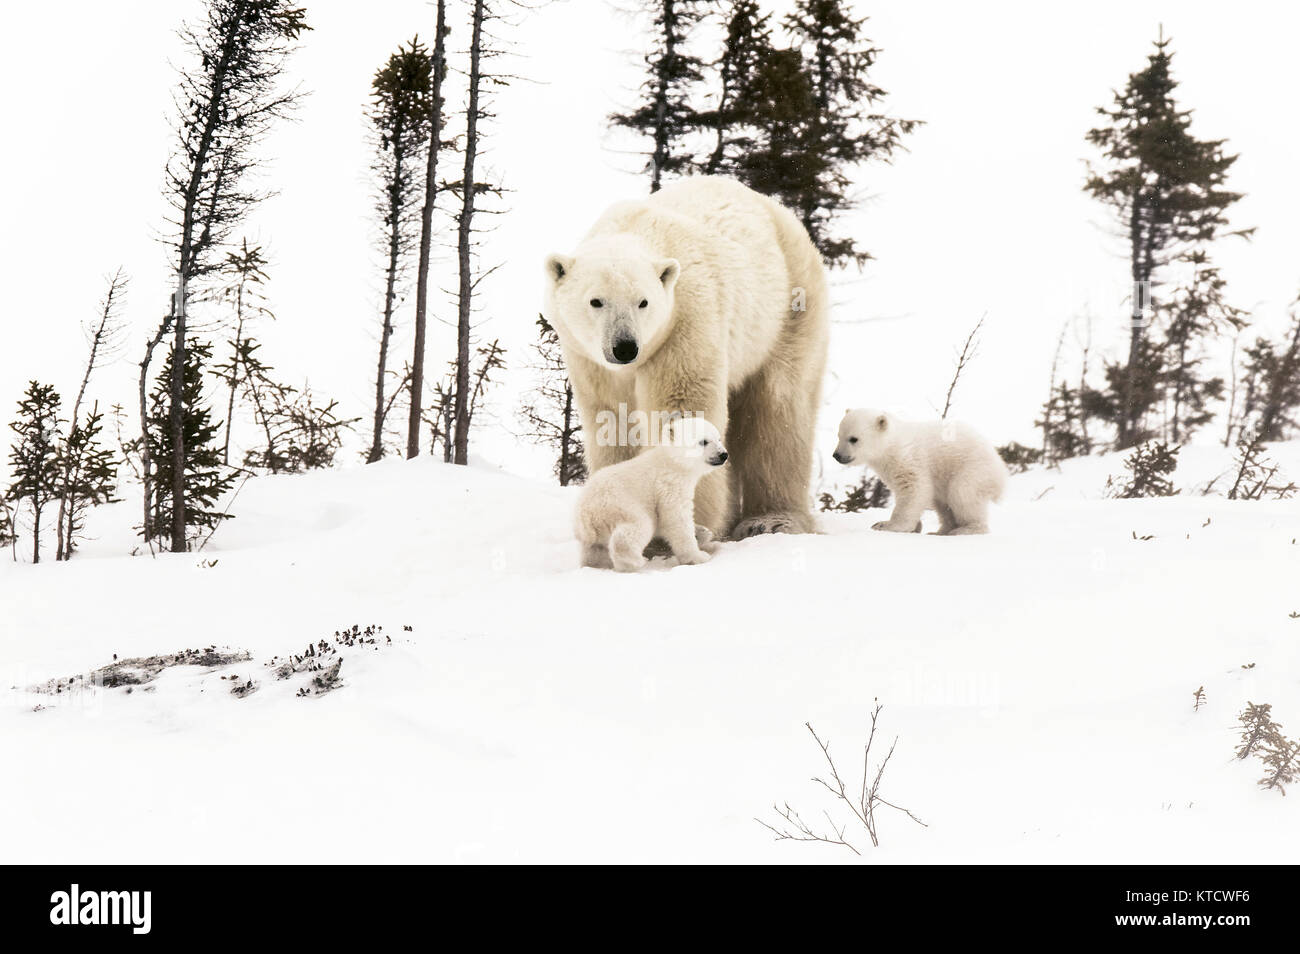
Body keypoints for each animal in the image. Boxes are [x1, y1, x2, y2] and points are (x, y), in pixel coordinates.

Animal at [540, 175, 826, 540]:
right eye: (596, 301)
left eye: (643, 302)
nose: (625, 347)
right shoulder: (588, 360)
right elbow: (613, 422)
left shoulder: (684, 322)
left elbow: (683, 409)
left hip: (786, 309)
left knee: (778, 408)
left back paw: (770, 519)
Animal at [579, 415, 733, 566]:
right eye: (703, 441)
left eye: (719, 438)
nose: (723, 454)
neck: (673, 461)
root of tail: (587, 515)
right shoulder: (669, 485)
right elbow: (676, 518)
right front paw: (698, 556)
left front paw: (703, 532)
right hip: (622, 505)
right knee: (638, 527)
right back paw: (634, 560)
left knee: (594, 550)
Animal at [832, 408, 1003, 535]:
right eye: (839, 435)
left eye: (853, 439)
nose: (837, 455)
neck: (892, 444)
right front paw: (916, 527)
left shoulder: (908, 459)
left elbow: (913, 489)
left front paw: (885, 525)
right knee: (942, 503)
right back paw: (941, 531)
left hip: (972, 469)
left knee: (962, 493)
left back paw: (966, 529)